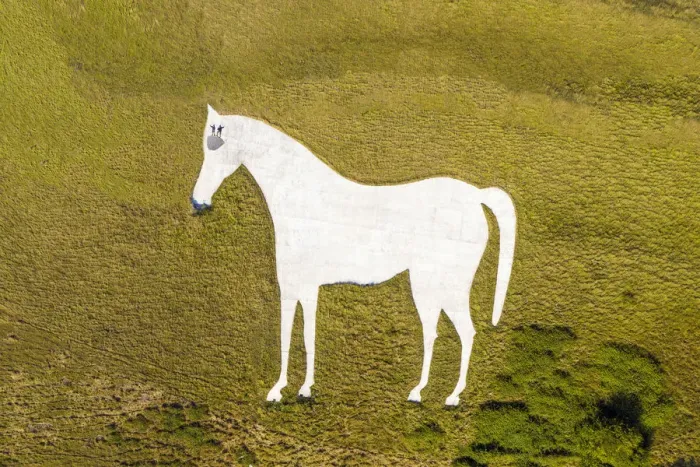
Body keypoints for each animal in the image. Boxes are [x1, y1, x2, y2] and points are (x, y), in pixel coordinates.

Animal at [191, 105, 516, 406]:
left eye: (216, 146)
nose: (198, 201)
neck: (301, 200)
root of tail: (475, 197)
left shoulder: (297, 286)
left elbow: (294, 336)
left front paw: (287, 390)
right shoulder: (302, 287)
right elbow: (301, 334)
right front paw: (295, 388)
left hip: (443, 287)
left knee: (464, 332)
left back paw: (451, 396)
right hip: (431, 287)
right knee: (435, 333)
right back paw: (421, 392)